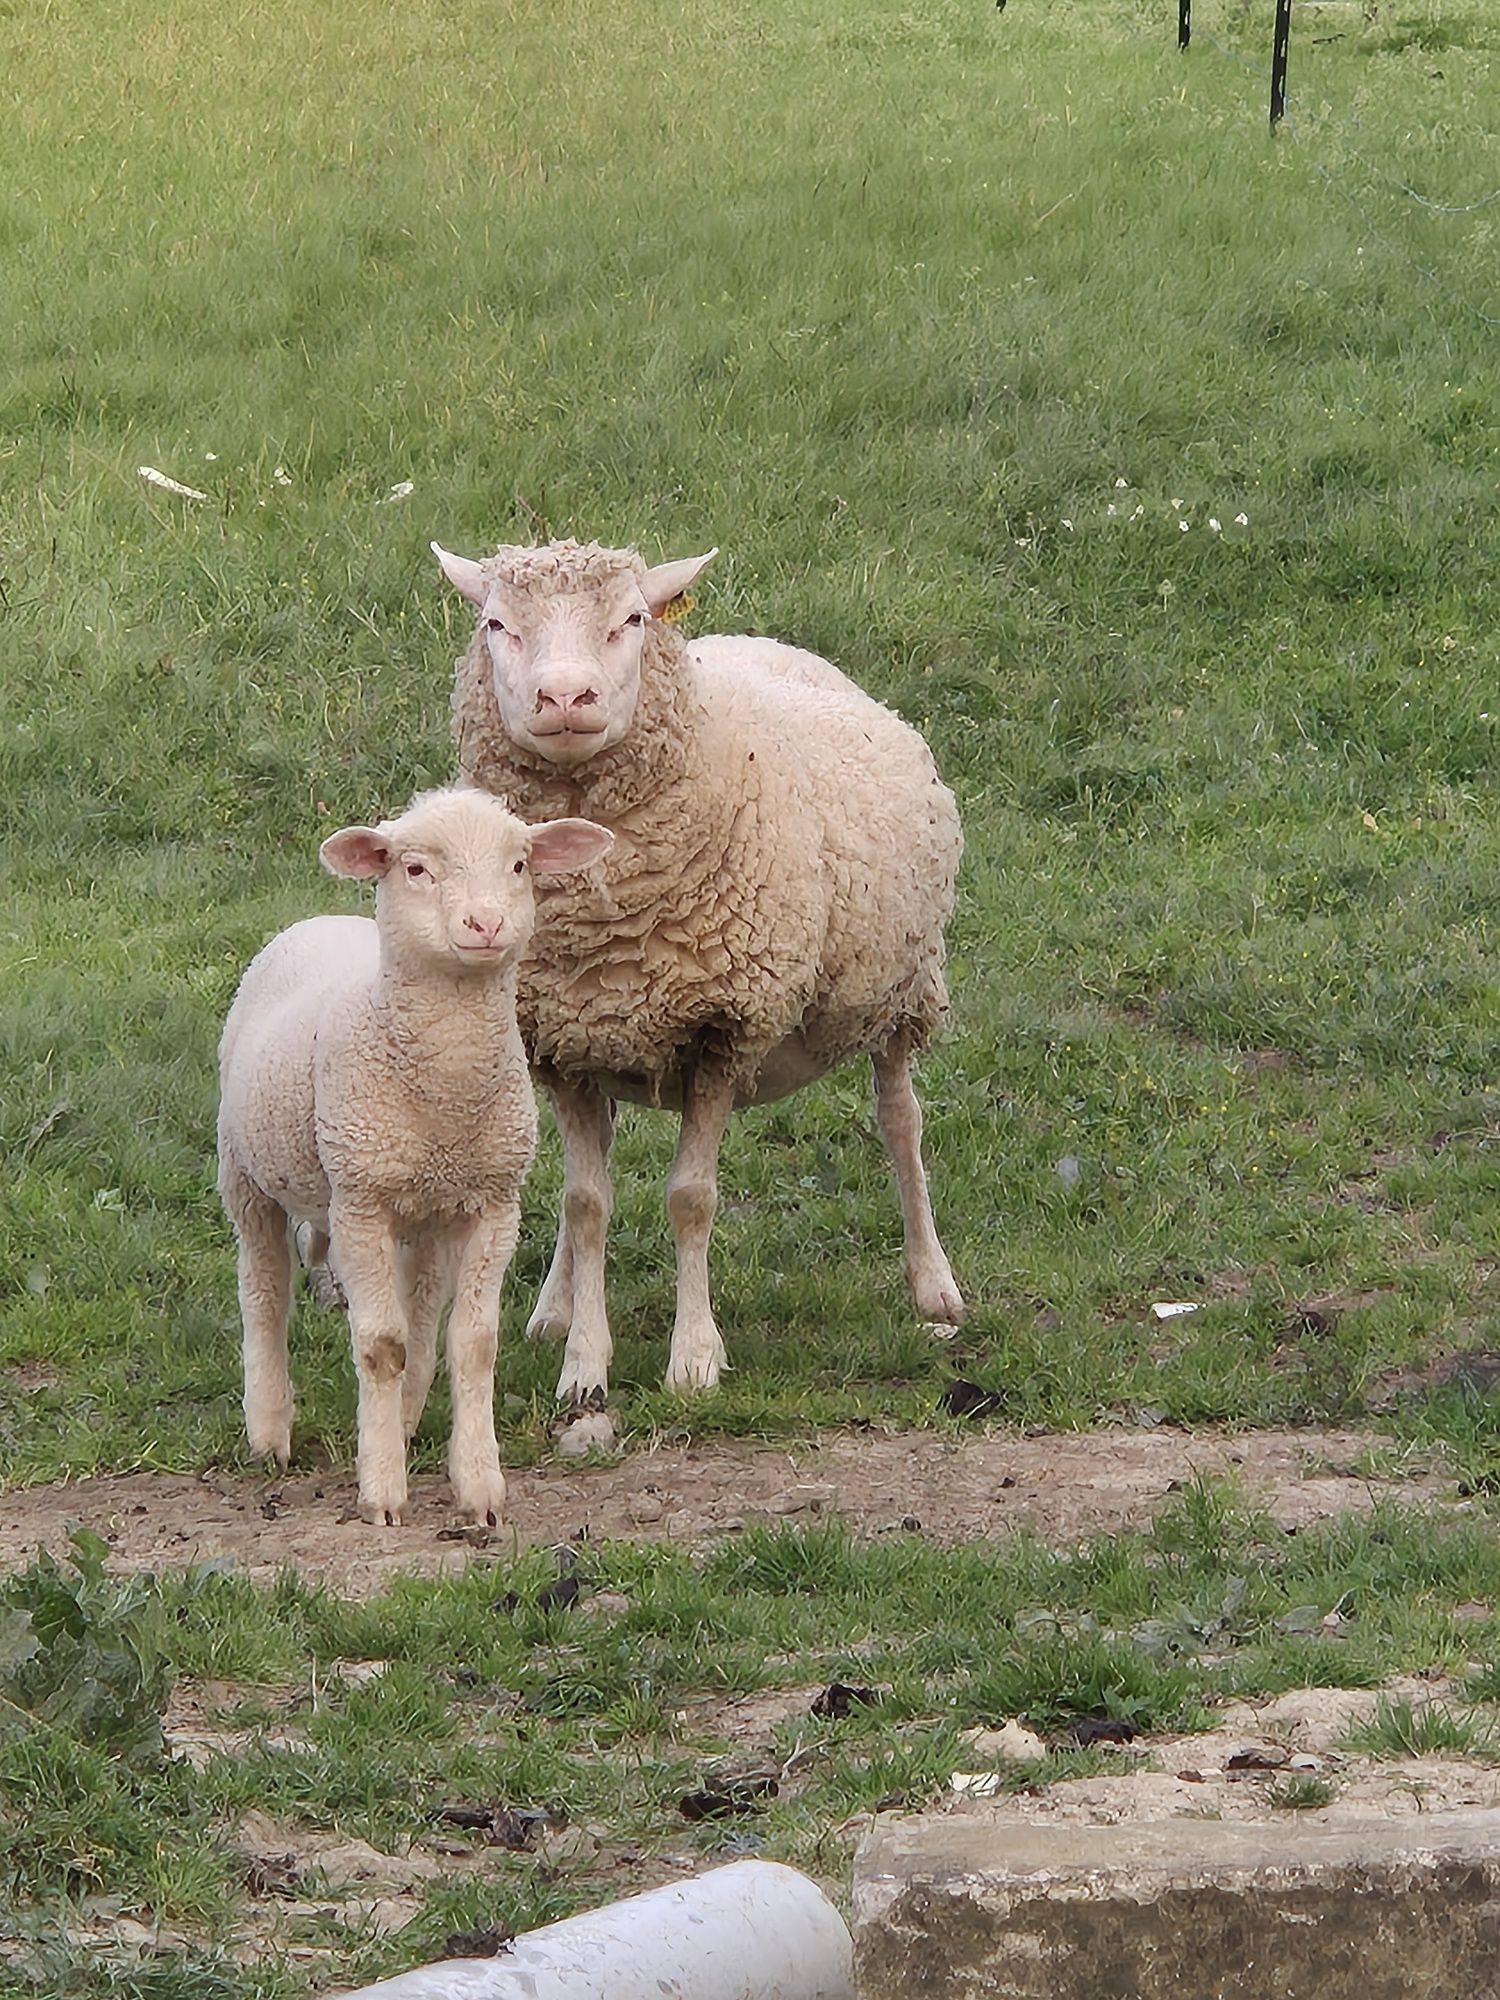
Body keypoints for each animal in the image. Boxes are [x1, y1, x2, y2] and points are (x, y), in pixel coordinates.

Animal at [216, 788, 612, 1520]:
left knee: (421, 1316)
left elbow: (473, 1345)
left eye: (520, 864)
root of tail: (320, 918)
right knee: (264, 1292)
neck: (446, 1092)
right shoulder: (359, 1204)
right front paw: (381, 1492)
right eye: (416, 869)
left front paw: (479, 1486)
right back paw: (270, 1428)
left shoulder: (494, 1203)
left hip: (423, 1215)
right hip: (245, 1173)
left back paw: (400, 1420)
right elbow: (379, 1344)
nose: (485, 923)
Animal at [434, 536, 968, 1408]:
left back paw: (933, 1284)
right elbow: (585, 1202)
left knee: (900, 1119)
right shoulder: (559, 1040)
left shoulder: (724, 1028)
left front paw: (693, 1361)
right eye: (496, 624)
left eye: (631, 619)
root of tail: (763, 640)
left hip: (901, 987)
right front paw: (583, 1362)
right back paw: (552, 1306)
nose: (564, 695)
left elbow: (692, 1198)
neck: (601, 915)